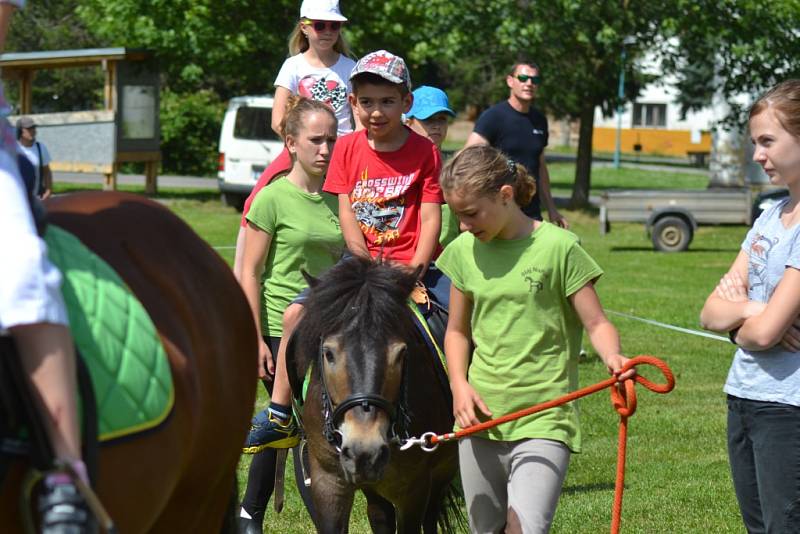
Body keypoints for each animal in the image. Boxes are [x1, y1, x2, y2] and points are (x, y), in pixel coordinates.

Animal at [286, 258, 462, 532]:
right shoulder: (327, 480)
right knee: (380, 513)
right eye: (328, 353)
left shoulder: (415, 488)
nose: (365, 451)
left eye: (401, 353)